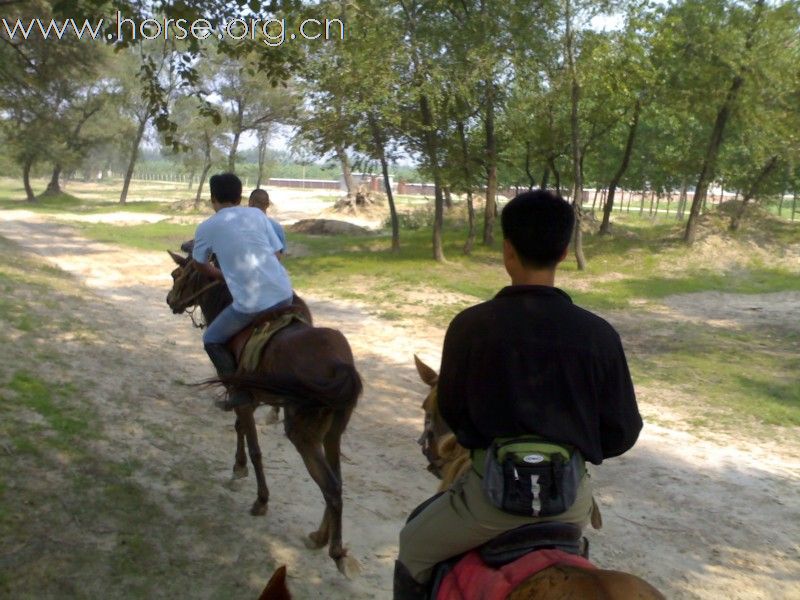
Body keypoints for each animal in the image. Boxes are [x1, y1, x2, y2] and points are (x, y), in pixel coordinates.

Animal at [167, 251, 360, 580]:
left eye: (176, 275)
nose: (170, 300)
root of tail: (340, 367)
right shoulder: (251, 397)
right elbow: (240, 428)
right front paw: (238, 468)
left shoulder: (242, 396)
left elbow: (254, 446)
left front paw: (259, 498)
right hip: (332, 432)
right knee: (336, 479)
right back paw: (320, 537)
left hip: (303, 434)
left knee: (331, 486)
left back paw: (335, 551)